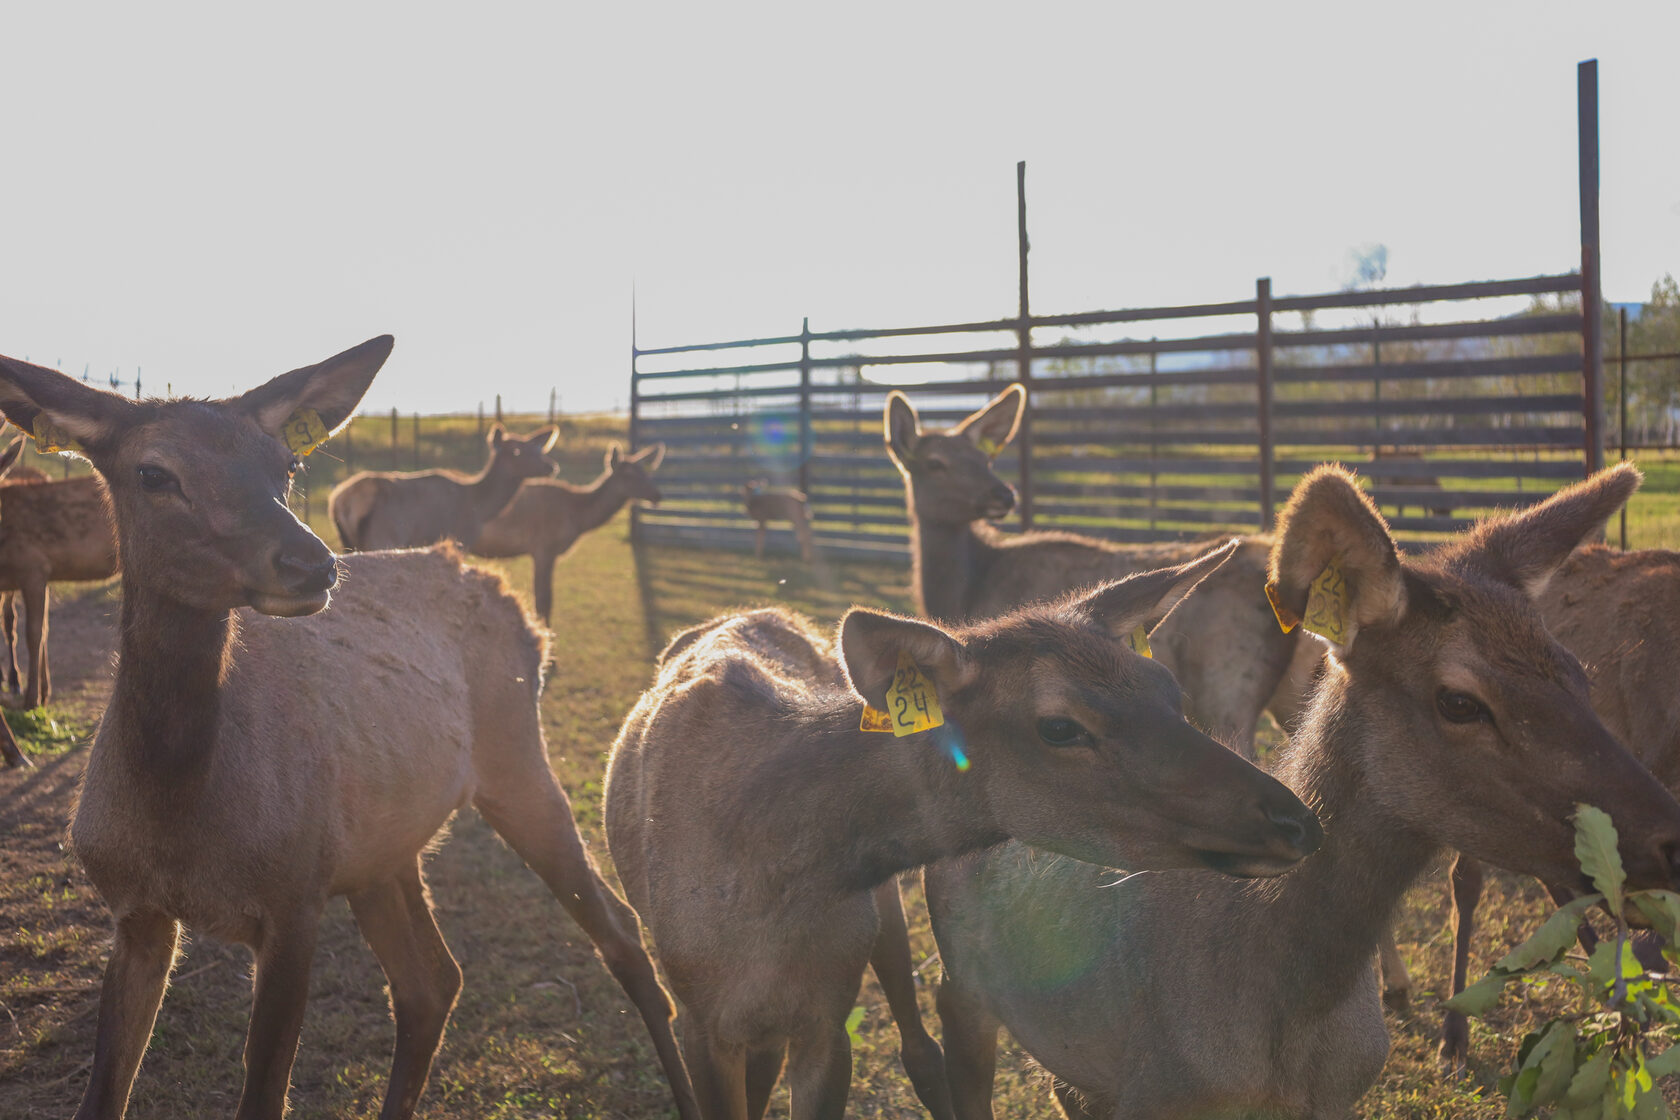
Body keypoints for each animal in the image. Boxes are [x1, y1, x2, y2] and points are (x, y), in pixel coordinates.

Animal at [327, 419, 557, 550]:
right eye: (516, 451)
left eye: (538, 449)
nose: (551, 466)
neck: (480, 508)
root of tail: (342, 502)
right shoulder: (461, 538)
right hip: (385, 534)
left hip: (348, 540)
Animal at [473, 443, 661, 628]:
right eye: (628, 475)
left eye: (646, 471)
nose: (657, 494)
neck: (576, 517)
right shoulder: (543, 547)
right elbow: (543, 600)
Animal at [604, 540, 1323, 1120]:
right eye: (1059, 726)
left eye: (1170, 690)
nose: (1298, 820)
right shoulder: (699, 1020)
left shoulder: (828, 1016)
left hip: (883, 919)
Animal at [927, 463, 1680, 1120]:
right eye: (1460, 702)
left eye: (1577, 671)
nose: (1668, 840)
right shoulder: (1155, 1091)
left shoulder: (1338, 1094)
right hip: (957, 979)